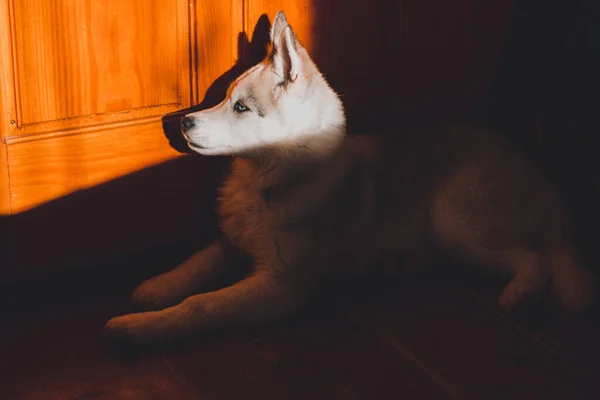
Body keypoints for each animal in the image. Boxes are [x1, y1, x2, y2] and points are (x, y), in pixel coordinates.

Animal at [104, 11, 596, 344]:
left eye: (242, 107)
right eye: (224, 97)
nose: (182, 123)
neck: (266, 182)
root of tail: (539, 172)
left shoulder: (280, 285)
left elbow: (201, 305)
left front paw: (135, 328)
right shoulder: (233, 238)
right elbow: (198, 262)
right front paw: (156, 288)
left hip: (451, 218)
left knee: (537, 257)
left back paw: (519, 295)